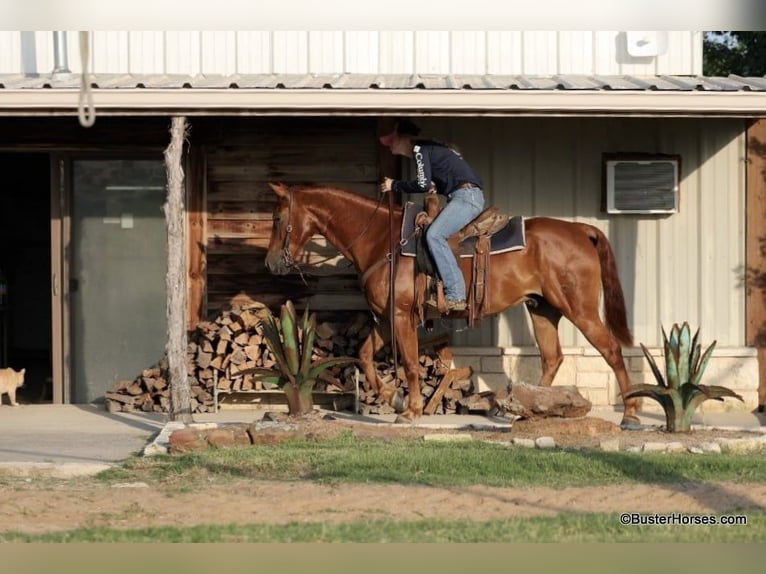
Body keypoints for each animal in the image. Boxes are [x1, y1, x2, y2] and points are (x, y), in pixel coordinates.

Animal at [266, 182, 640, 430]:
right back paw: (530, 410)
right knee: (552, 357)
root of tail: (580, 229)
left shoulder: (401, 316)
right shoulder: (386, 319)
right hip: (543, 309)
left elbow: (411, 364)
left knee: (611, 351)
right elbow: (365, 355)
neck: (381, 239)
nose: (271, 263)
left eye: (277, 218)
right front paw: (391, 396)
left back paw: (631, 414)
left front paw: (411, 409)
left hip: (580, 309)